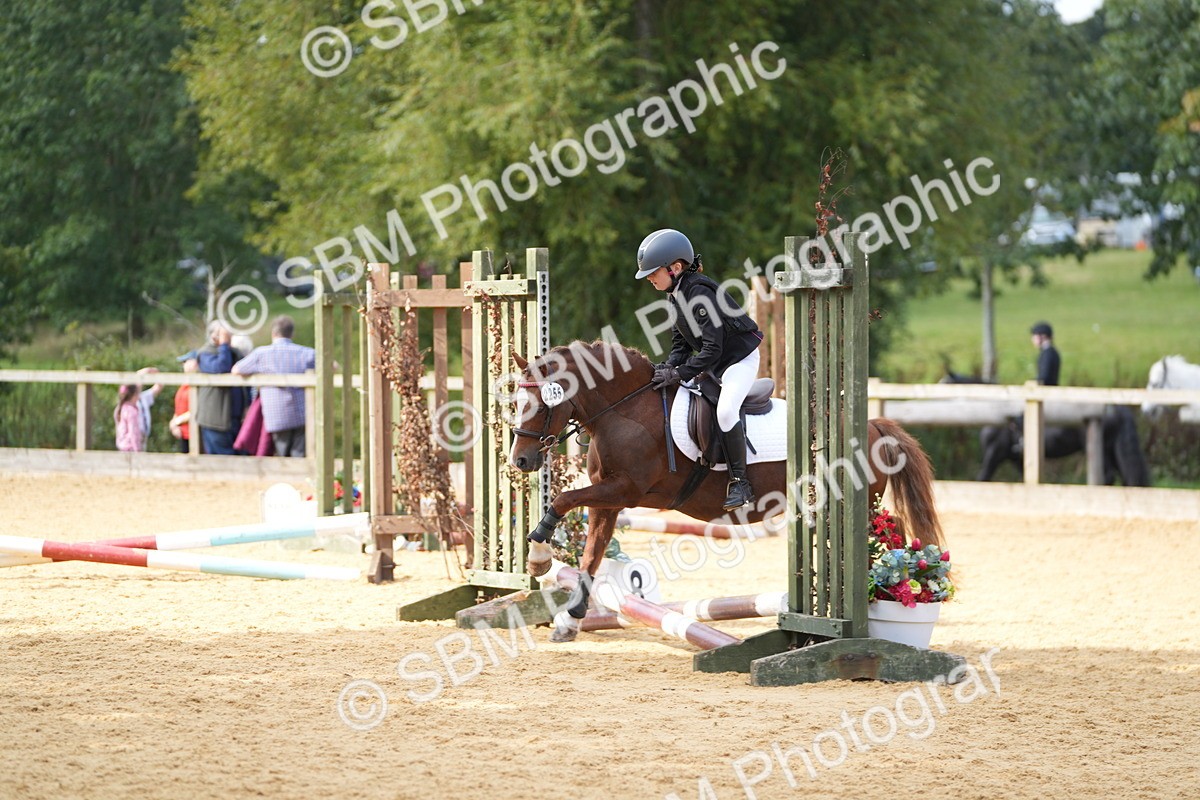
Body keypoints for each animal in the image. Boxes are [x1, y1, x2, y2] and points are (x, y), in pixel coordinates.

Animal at [508, 340, 943, 642]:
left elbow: (563, 500)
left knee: (891, 537)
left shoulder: (625, 490)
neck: (624, 409)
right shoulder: (609, 499)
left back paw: (898, 595)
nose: (520, 461)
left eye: (540, 405)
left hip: (853, 505)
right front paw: (569, 619)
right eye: (515, 401)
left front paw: (538, 557)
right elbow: (591, 557)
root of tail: (872, 426)